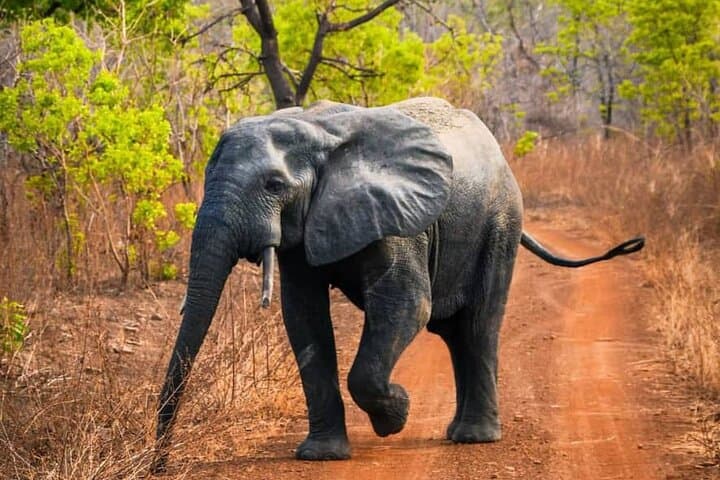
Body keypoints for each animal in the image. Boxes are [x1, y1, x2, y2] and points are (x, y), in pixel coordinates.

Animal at [152, 97, 643, 469]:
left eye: (274, 185)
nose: (160, 464)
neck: (316, 131)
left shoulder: (399, 216)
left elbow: (405, 303)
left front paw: (396, 416)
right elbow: (304, 317)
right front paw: (322, 456)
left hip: (500, 222)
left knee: (479, 325)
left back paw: (474, 438)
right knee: (455, 334)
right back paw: (457, 432)